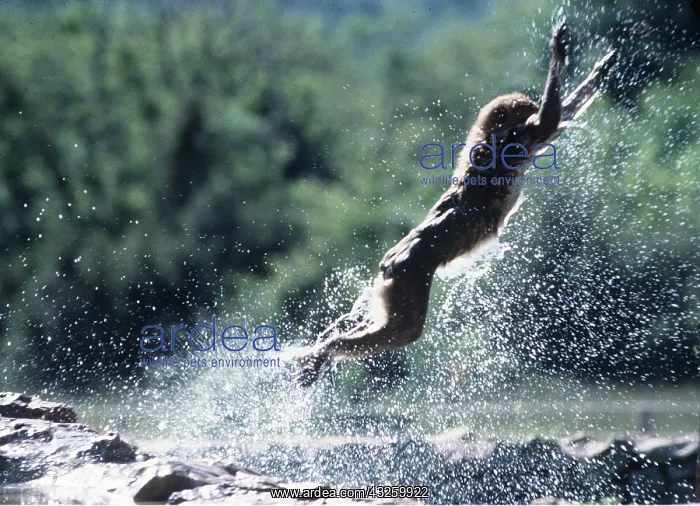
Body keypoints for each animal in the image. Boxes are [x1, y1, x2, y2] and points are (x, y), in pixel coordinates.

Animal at [295, 12, 618, 387]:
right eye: (524, 109)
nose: (531, 107)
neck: (495, 138)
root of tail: (393, 259)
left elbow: (562, 114)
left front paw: (600, 69)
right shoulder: (521, 138)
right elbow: (553, 117)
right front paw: (559, 49)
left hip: (394, 281)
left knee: (384, 323)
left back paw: (324, 350)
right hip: (409, 275)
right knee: (404, 330)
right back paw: (326, 350)